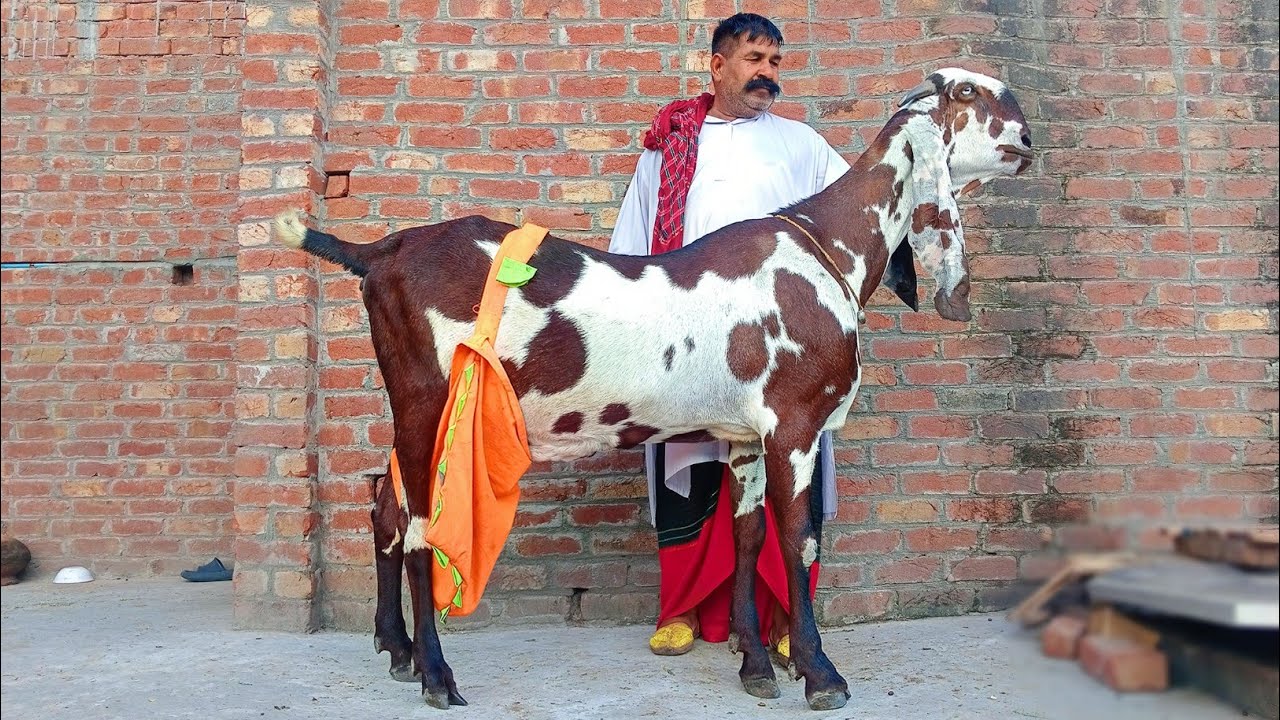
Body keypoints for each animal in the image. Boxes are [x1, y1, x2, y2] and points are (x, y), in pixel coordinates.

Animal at [276, 67, 1033, 710]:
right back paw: (436, 675)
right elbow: (799, 539)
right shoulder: (793, 423)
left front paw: (756, 664)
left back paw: (397, 650)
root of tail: (380, 253)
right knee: (421, 526)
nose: (1028, 139)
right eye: (967, 91)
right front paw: (819, 674)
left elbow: (748, 535)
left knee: (385, 504)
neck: (827, 247)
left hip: (409, 405)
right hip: (429, 402)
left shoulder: (745, 434)